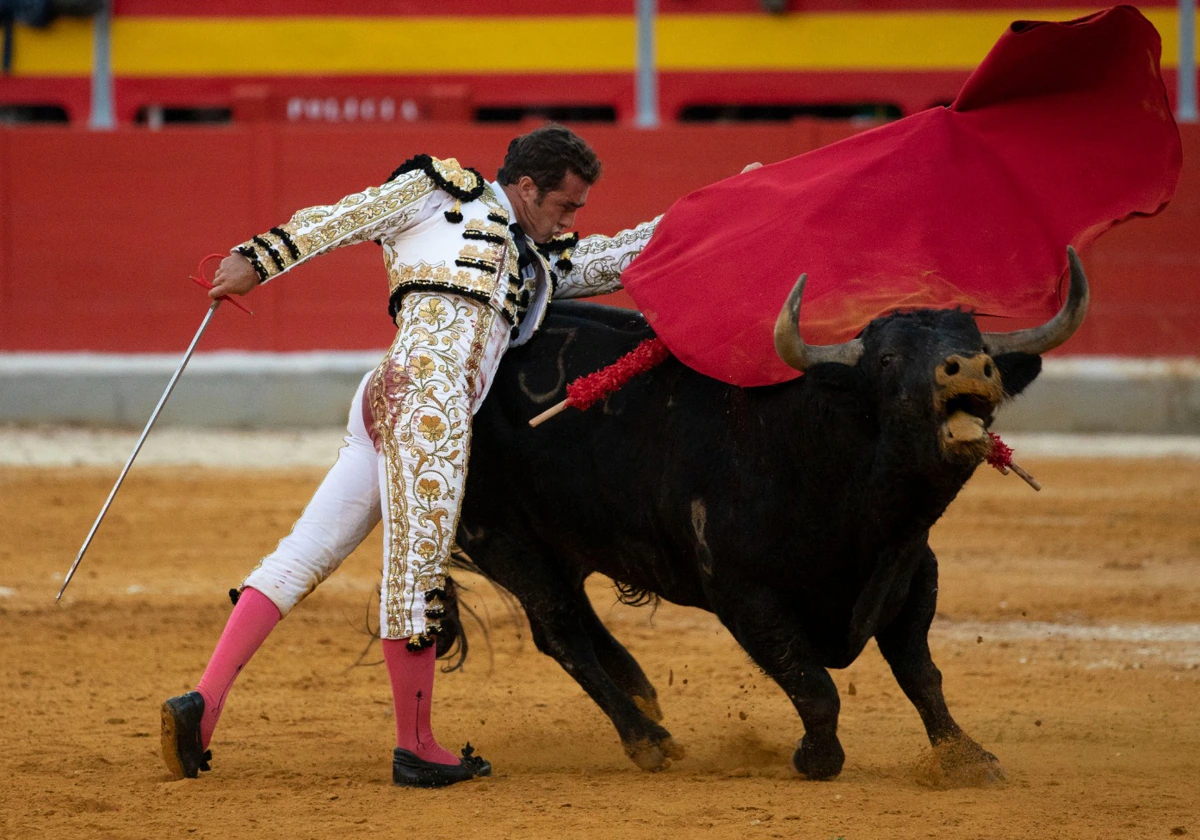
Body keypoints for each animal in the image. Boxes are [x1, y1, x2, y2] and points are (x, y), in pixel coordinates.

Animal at [451, 247, 1089, 782]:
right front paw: (816, 758)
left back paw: (640, 693)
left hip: (559, 539)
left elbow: (921, 675)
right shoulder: (746, 595)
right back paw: (647, 738)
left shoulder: (912, 574)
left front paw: (967, 758)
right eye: (887, 359)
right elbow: (813, 684)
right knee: (560, 630)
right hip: (502, 537)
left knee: (573, 617)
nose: (970, 368)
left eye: (980, 343)